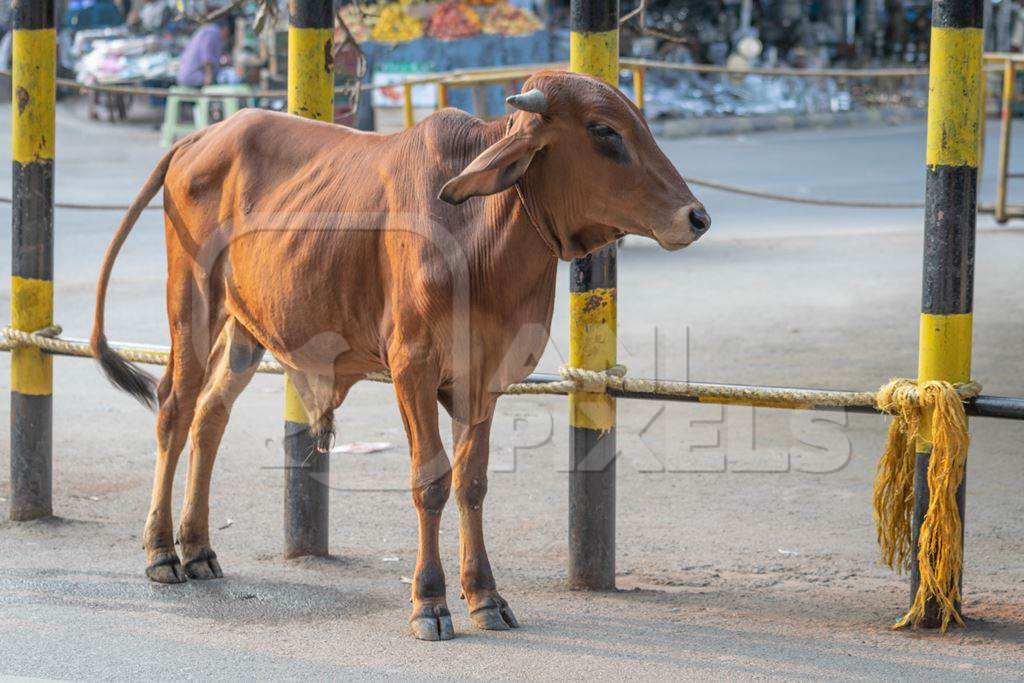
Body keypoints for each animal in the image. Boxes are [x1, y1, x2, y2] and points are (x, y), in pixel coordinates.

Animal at [92, 72, 708, 643]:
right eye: (604, 132)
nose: (696, 217)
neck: (480, 235)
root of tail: (198, 137)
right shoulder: (413, 368)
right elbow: (430, 482)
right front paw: (430, 603)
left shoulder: (484, 379)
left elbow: (472, 482)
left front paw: (485, 596)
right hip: (193, 304)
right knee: (174, 410)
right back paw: (161, 552)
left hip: (247, 328)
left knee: (211, 415)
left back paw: (198, 548)